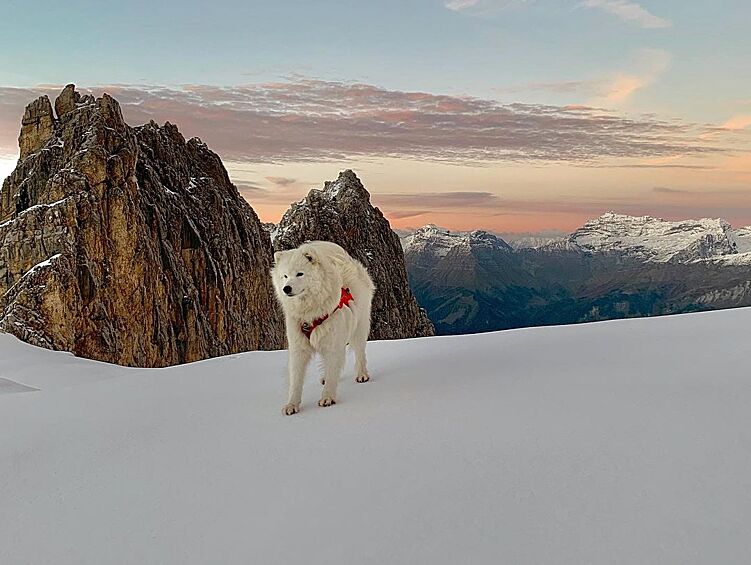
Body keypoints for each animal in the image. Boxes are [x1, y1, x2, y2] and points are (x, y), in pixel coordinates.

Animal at [272, 239, 374, 414]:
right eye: (285, 276)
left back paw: (362, 375)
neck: (310, 313)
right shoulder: (298, 347)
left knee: (360, 353)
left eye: (300, 274)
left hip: (359, 328)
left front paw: (327, 398)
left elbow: (333, 367)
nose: (286, 288)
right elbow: (296, 379)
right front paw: (292, 405)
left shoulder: (333, 342)